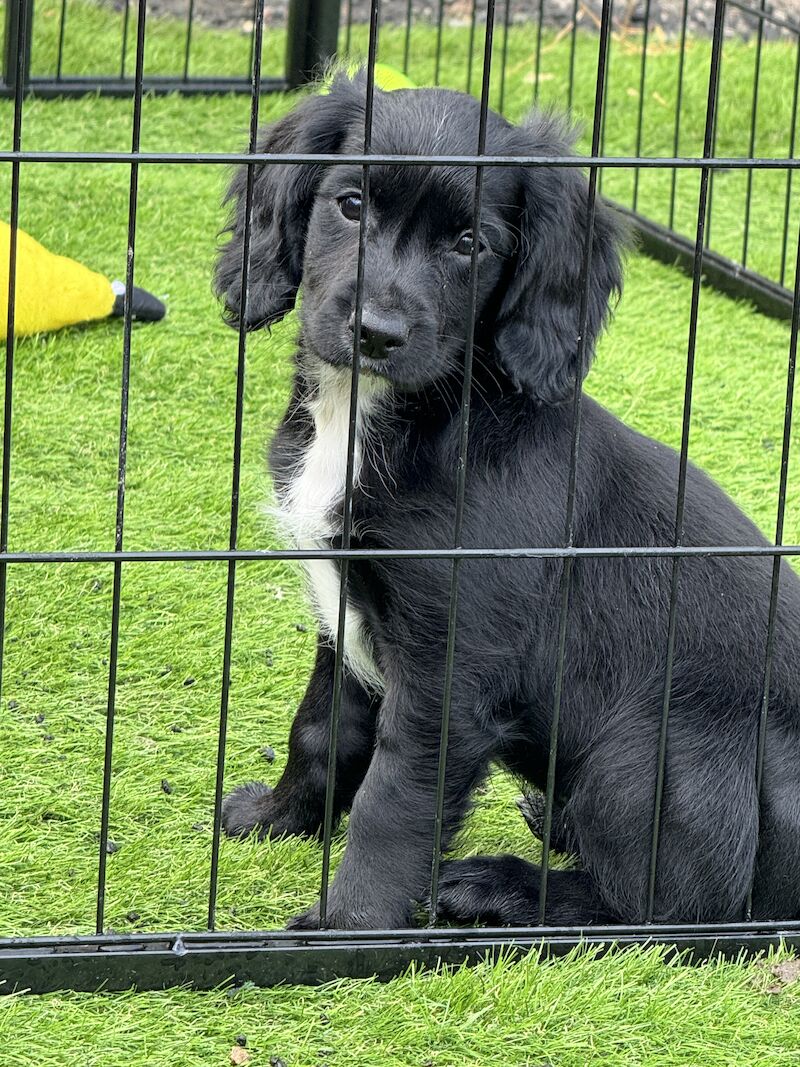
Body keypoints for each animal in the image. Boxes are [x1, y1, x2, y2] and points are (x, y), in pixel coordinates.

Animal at [213, 75, 800, 930]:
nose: (377, 332)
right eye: (350, 204)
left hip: (654, 749)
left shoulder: (450, 670)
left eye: (472, 245)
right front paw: (274, 818)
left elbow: (395, 799)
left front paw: (345, 926)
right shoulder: (346, 619)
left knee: (664, 909)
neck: (387, 415)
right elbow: (321, 730)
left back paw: (498, 885)